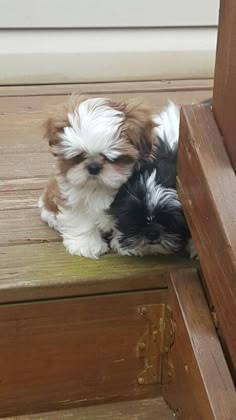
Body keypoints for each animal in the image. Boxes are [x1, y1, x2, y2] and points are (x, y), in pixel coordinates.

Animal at [38, 96, 155, 260]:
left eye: (114, 158)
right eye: (79, 155)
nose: (93, 167)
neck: (99, 187)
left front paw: (130, 244)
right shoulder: (71, 197)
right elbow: (80, 220)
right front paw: (86, 245)